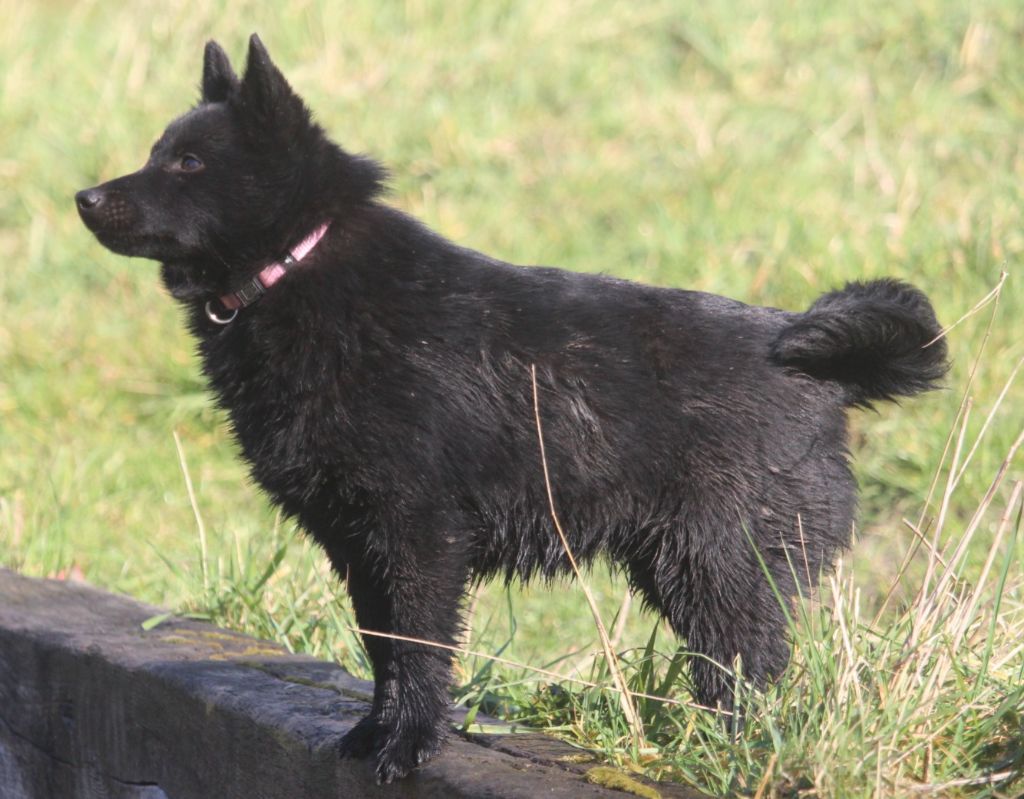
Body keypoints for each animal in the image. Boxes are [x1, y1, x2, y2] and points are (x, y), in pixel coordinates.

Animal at [75, 35, 946, 778]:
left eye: (189, 161)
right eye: (155, 153)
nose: (84, 196)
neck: (297, 269)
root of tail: (813, 360)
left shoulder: (419, 533)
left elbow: (419, 648)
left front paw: (408, 747)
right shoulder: (358, 541)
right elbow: (382, 648)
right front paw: (371, 733)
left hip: (721, 567)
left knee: (754, 672)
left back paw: (734, 755)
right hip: (684, 568)